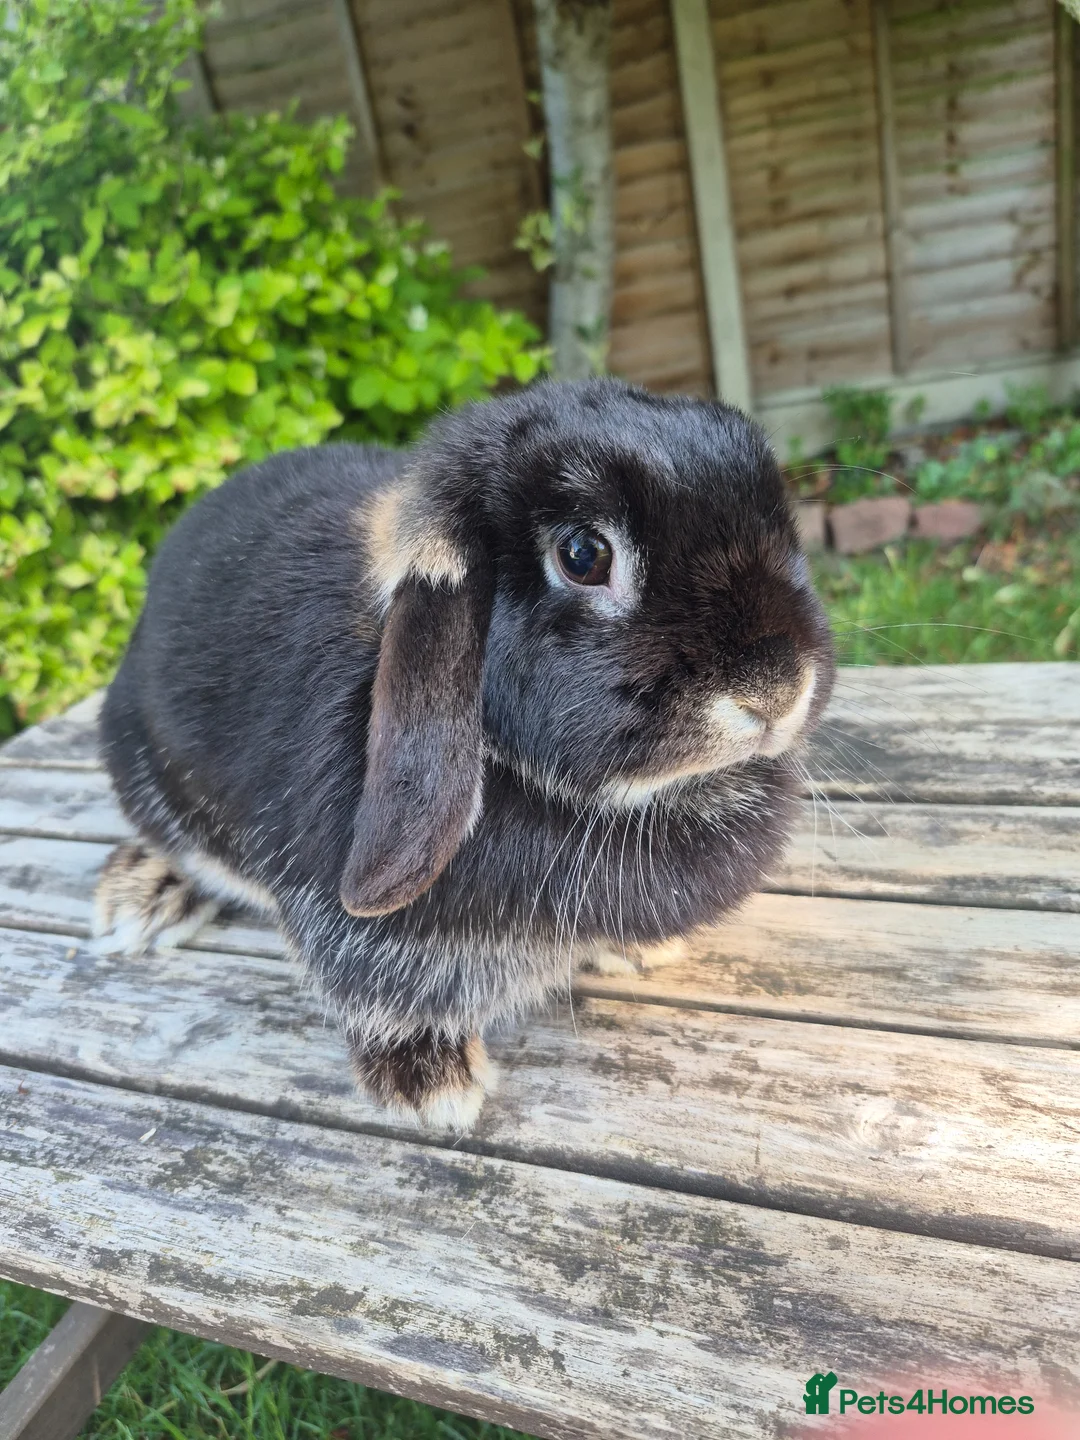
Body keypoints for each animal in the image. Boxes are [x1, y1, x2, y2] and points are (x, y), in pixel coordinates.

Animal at [95, 378, 836, 1129]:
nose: (776, 689)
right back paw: (142, 897)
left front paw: (639, 949)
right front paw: (431, 1087)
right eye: (582, 555)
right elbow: (378, 996)